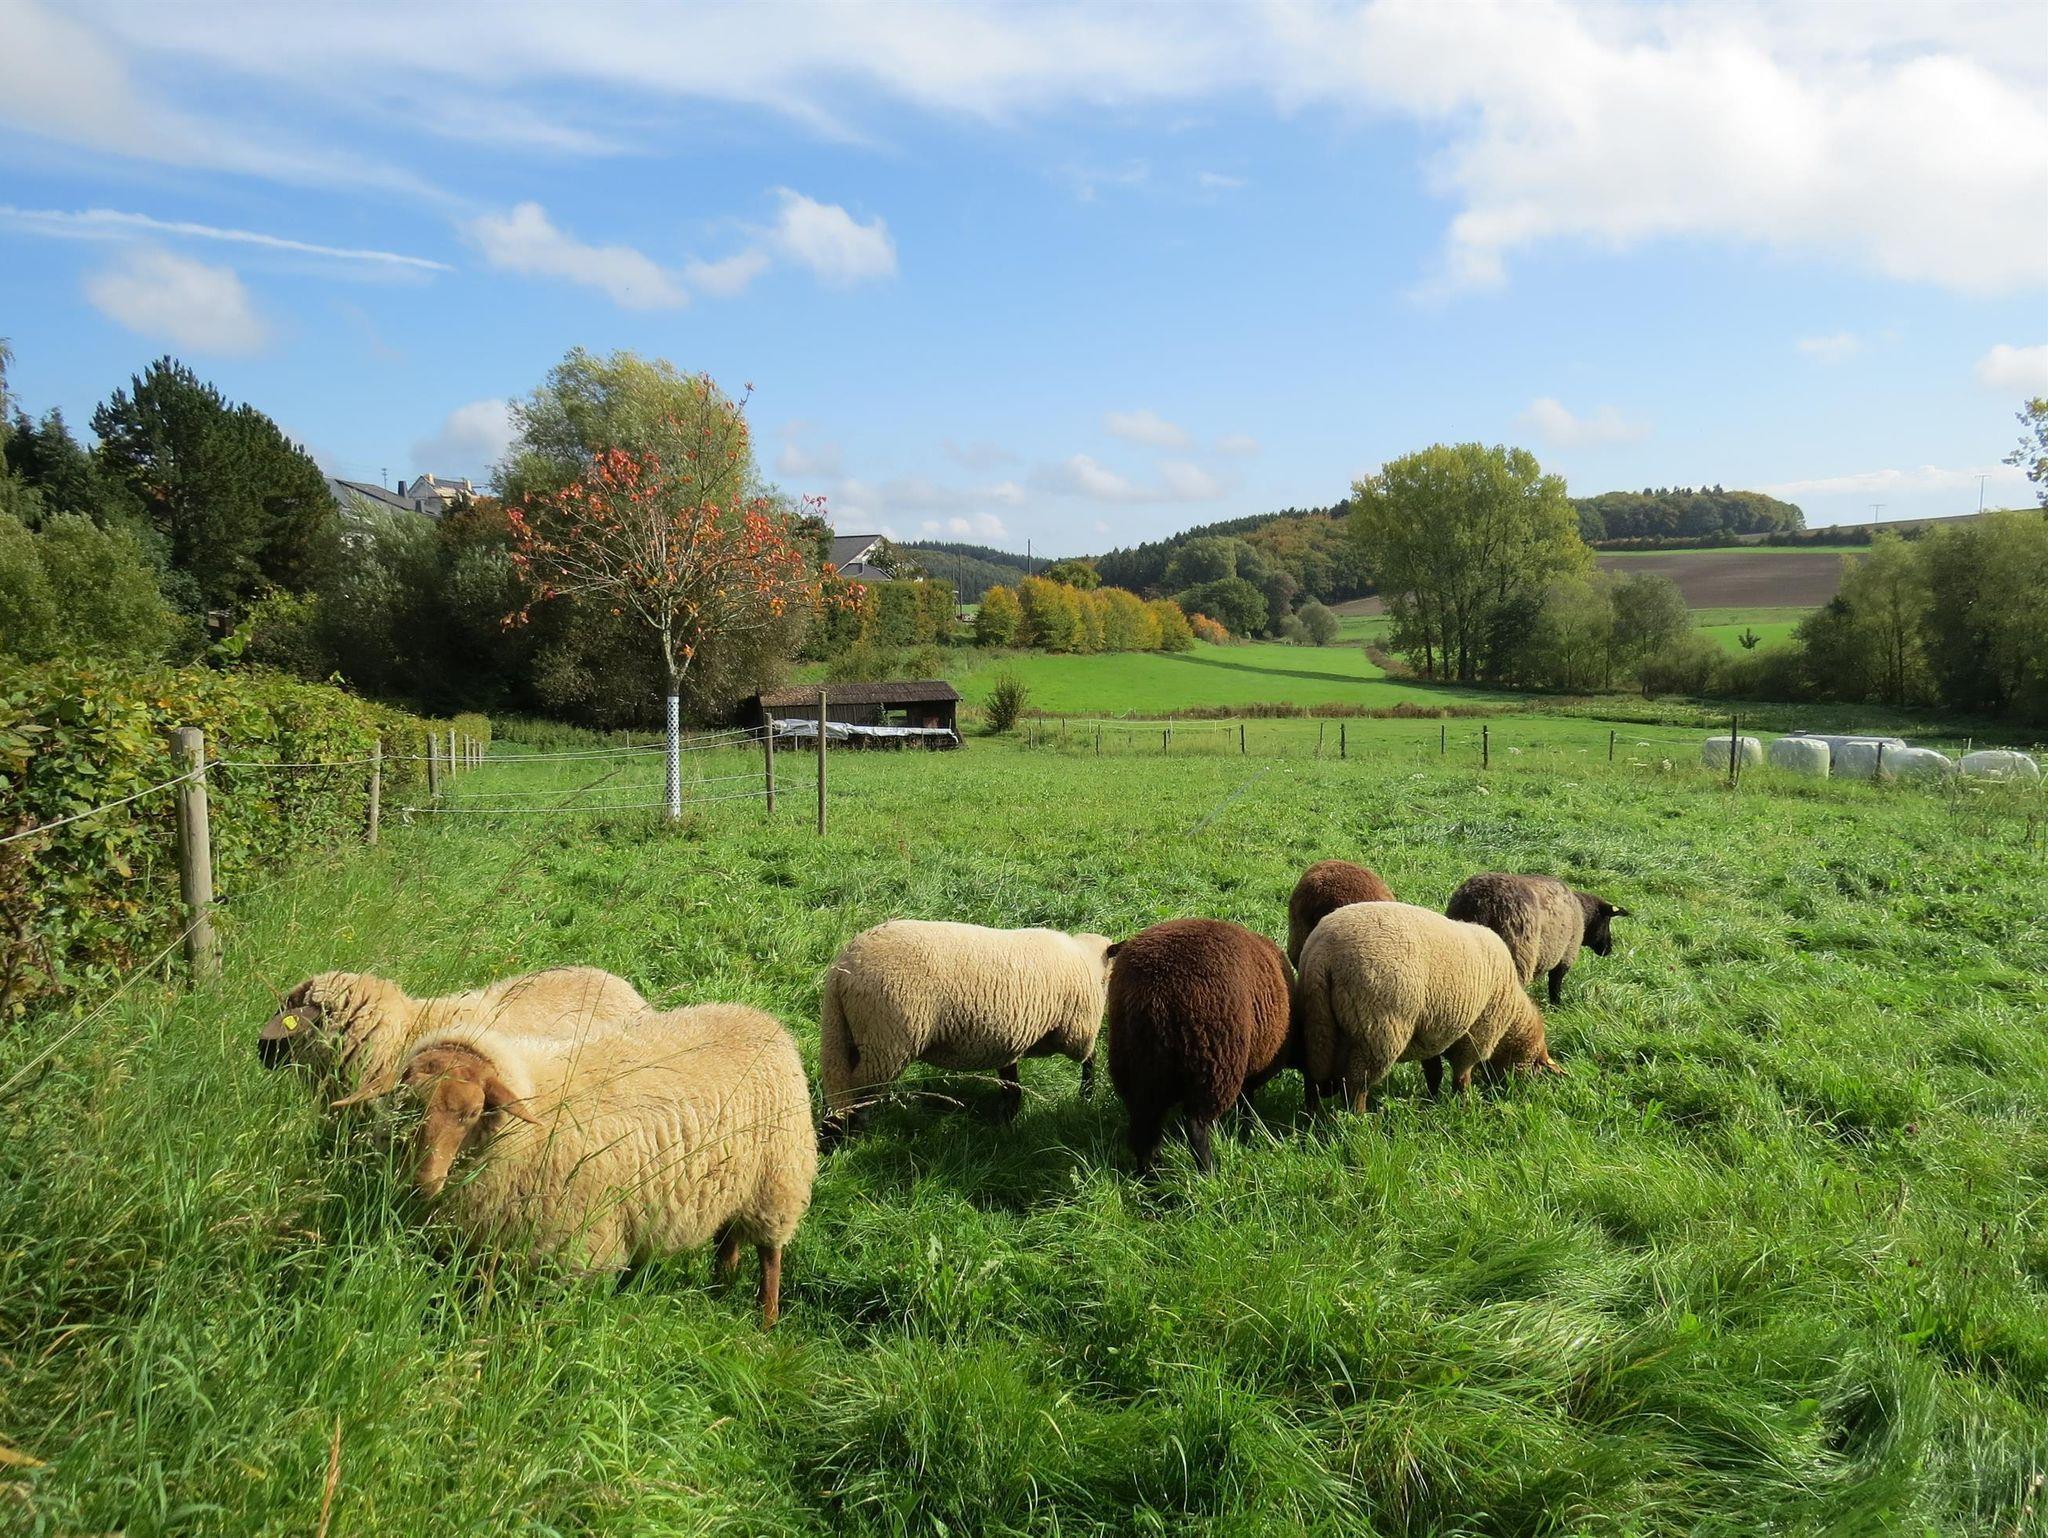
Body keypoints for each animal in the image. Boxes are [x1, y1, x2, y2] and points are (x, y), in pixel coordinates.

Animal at [335, 1003, 815, 1326]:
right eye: (407, 1103)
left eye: (472, 1113)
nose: (423, 1183)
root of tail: (764, 1019)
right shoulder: (491, 1237)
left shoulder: (576, 1247)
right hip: (732, 1185)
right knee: (727, 1238)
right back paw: (720, 1285)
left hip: (777, 1181)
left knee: (770, 1254)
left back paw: (767, 1319)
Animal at [817, 920, 1114, 1147]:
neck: (1086, 960)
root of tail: (842, 971)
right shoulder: (1076, 1028)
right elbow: (1089, 1057)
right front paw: (1087, 1094)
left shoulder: (1011, 1039)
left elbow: (1011, 1084)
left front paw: (1007, 1121)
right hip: (887, 1041)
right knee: (858, 1092)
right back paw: (847, 1139)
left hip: (840, 1031)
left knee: (838, 1087)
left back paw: (832, 1137)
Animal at [1104, 919, 1296, 1176]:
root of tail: (1152, 993)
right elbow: (1247, 1102)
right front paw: (1248, 1130)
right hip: (1213, 1064)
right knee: (1195, 1126)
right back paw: (1210, 1173)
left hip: (1135, 1068)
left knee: (1143, 1128)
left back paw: (1150, 1175)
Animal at [1295, 902, 1561, 1114]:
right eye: (1535, 1070)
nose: (1514, 1093)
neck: (1511, 1020)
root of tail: (1323, 953)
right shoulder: (1476, 1036)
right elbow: (1461, 1076)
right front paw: (1464, 1105)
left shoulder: (1431, 1034)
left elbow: (1434, 1073)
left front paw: (1433, 1100)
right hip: (1377, 1031)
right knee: (1355, 1085)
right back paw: (1360, 1124)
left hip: (1319, 1022)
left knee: (1313, 1076)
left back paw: (1312, 1118)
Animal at [1444, 872, 1626, 1006]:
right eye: (1607, 921)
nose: (1608, 949)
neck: (1582, 914)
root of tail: (1482, 902)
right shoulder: (1567, 954)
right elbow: (1555, 984)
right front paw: (1557, 1007)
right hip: (1518, 955)